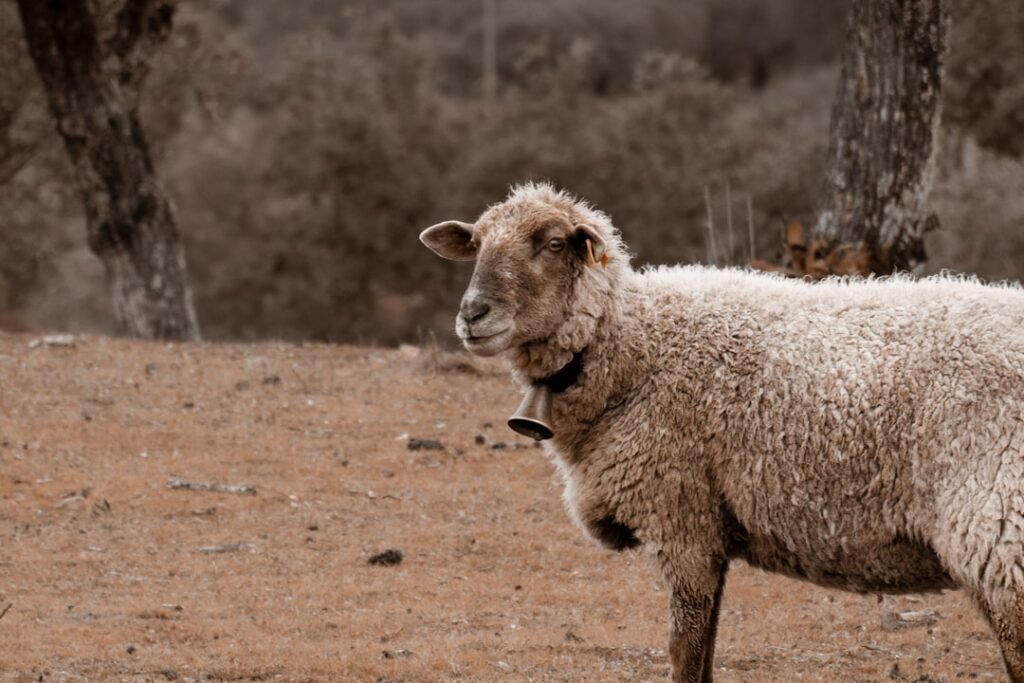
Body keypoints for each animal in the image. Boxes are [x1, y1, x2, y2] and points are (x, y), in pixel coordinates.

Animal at [419, 182, 1024, 683]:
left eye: (550, 244)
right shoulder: (707, 528)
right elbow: (704, 649)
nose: (473, 315)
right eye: (477, 244)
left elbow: (685, 653)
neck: (633, 344)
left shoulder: (682, 518)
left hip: (1001, 532)